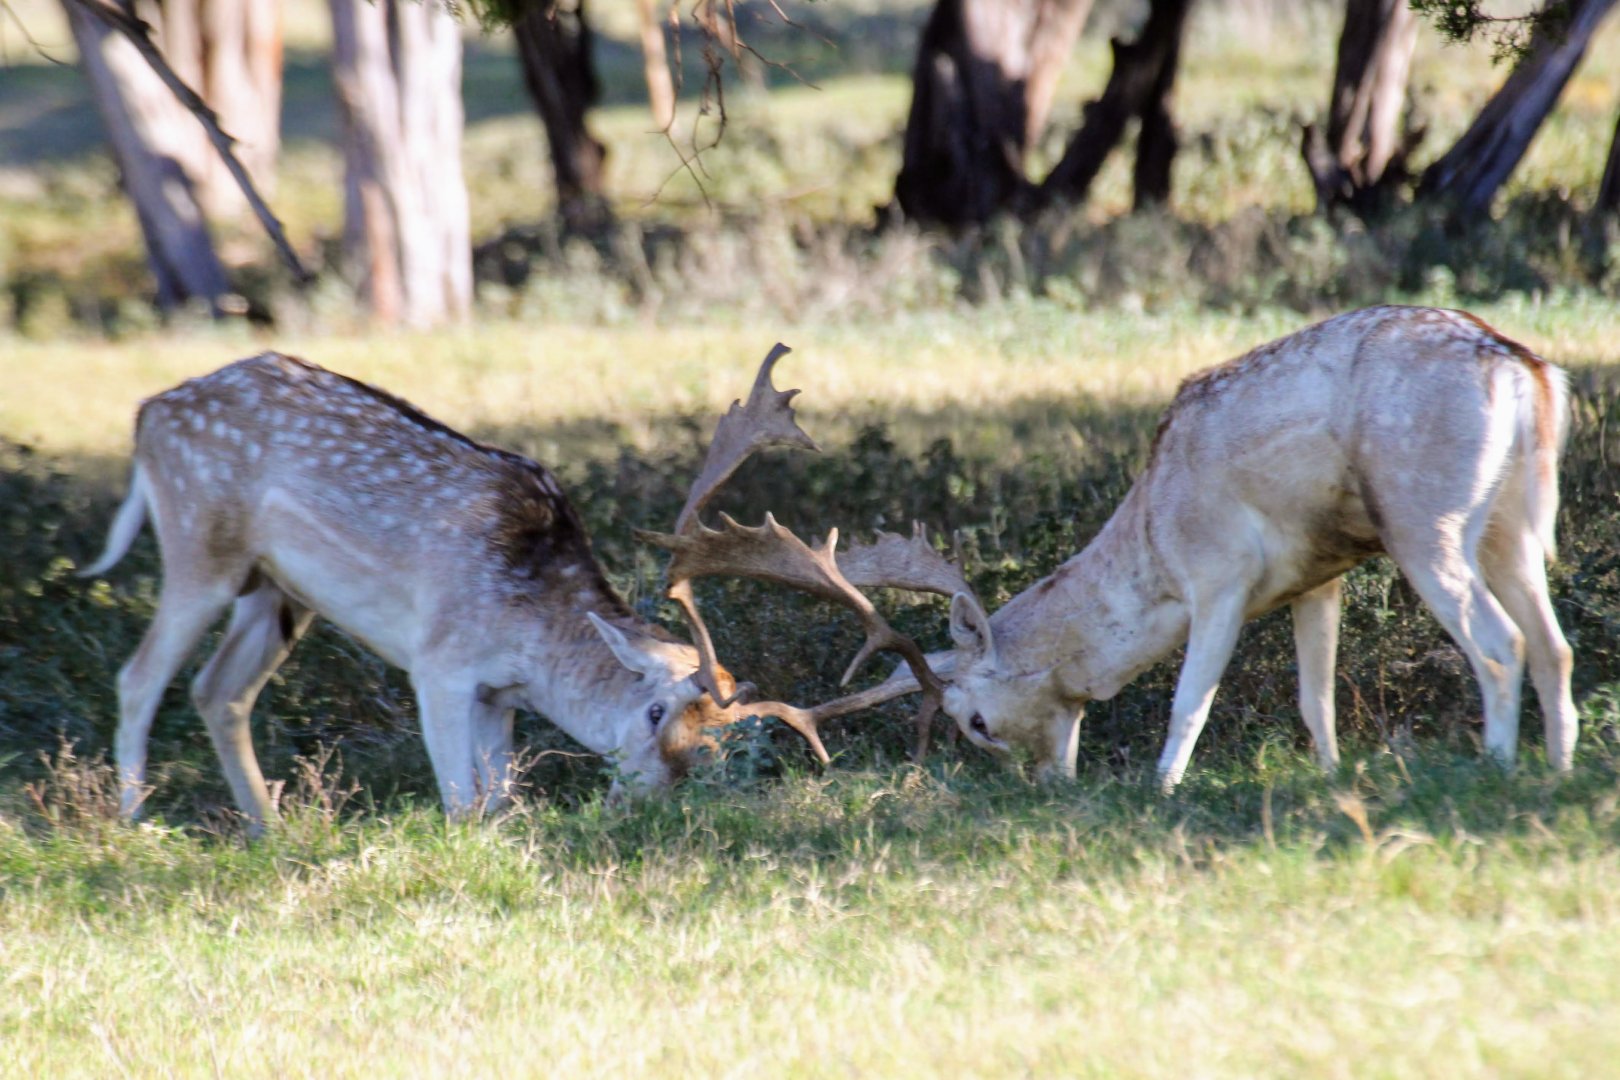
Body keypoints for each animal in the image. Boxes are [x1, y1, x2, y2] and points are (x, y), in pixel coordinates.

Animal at [920, 305, 1577, 789]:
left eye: (976, 720)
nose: (1042, 782)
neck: (1156, 539)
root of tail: (1526, 372)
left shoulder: (1219, 575)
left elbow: (1190, 700)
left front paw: (1162, 790)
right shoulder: (1318, 577)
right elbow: (1316, 699)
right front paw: (1329, 776)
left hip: (1423, 520)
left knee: (1502, 644)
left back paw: (1497, 769)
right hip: (1509, 527)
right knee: (1554, 645)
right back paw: (1558, 769)